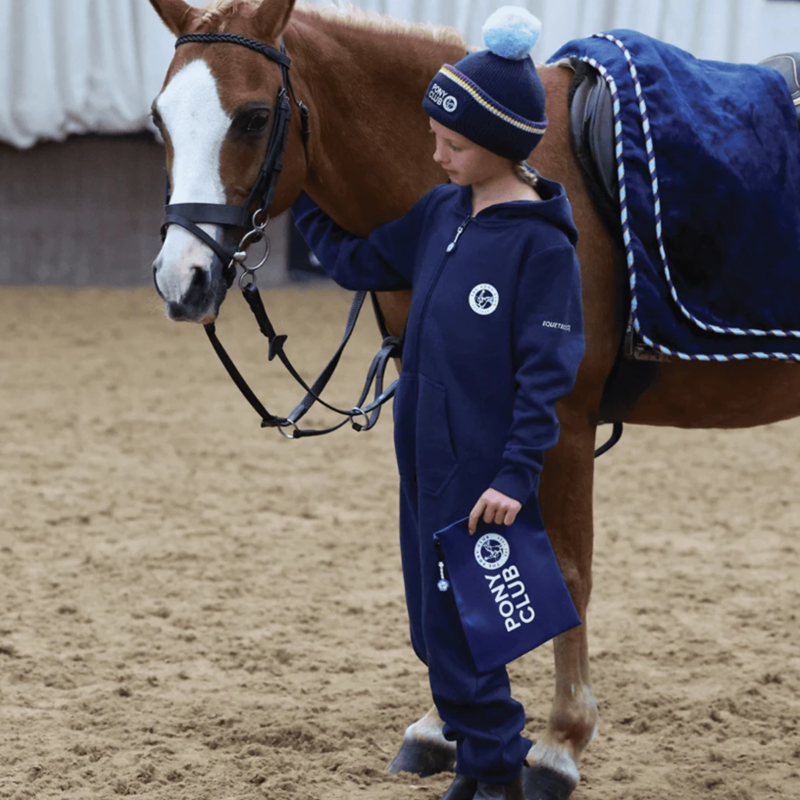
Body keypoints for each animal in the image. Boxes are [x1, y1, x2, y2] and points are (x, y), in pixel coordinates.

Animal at [147, 0, 800, 796]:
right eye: (159, 119)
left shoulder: (562, 423)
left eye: (251, 117)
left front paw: (559, 744)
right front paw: (440, 729)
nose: (182, 280)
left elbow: (565, 571)